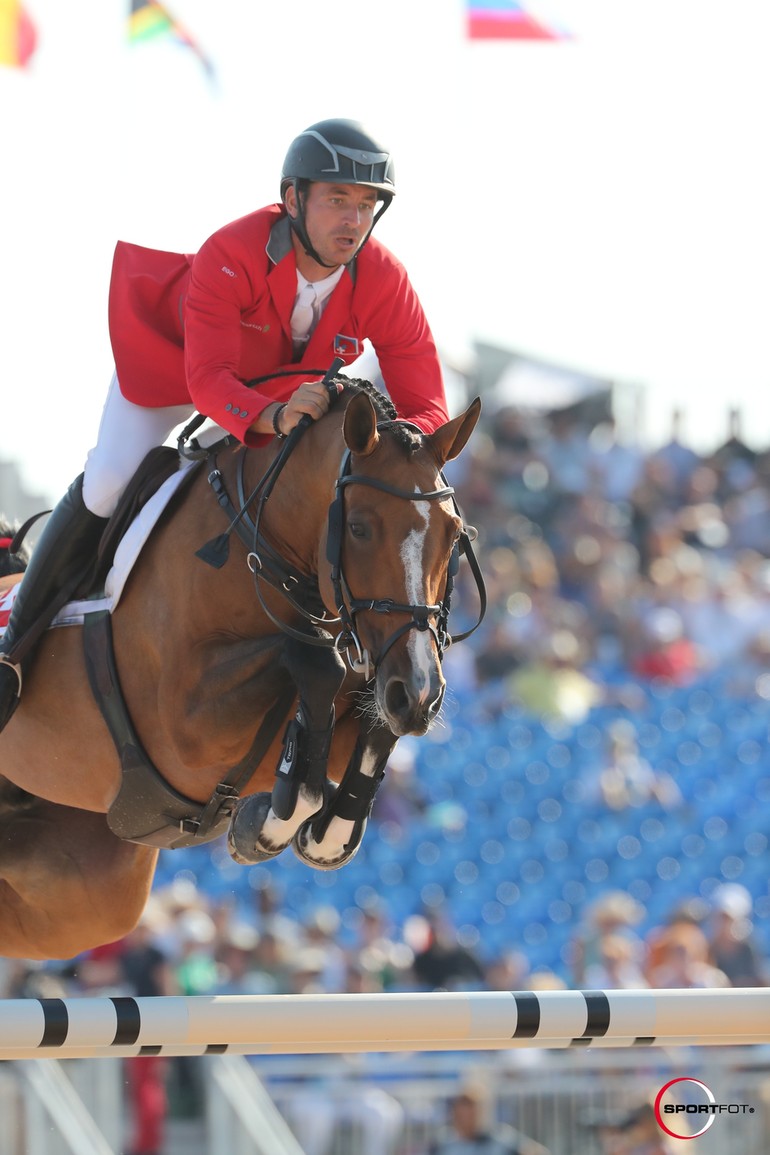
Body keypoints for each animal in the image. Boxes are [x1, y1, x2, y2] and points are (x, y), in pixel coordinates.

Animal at [0, 376, 482, 956]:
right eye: (359, 528)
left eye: (454, 534)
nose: (419, 694)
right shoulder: (184, 727)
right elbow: (316, 664)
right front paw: (272, 819)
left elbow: (363, 727)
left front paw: (305, 826)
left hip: (81, 893)